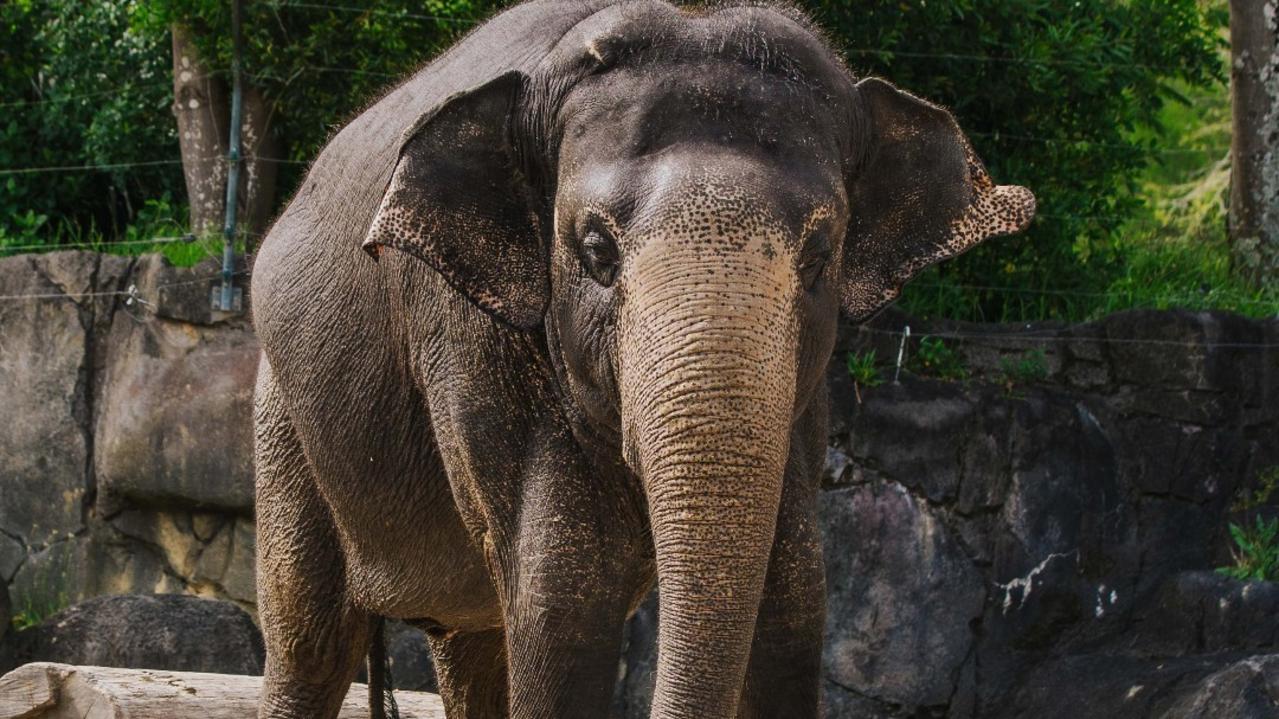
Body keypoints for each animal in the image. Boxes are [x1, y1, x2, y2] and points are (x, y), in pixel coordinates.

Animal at [246, 1, 1028, 716]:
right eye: (595, 250)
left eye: (819, 254)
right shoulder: (472, 340)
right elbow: (563, 605)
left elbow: (794, 602)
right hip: (282, 417)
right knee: (312, 640)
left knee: (471, 645)